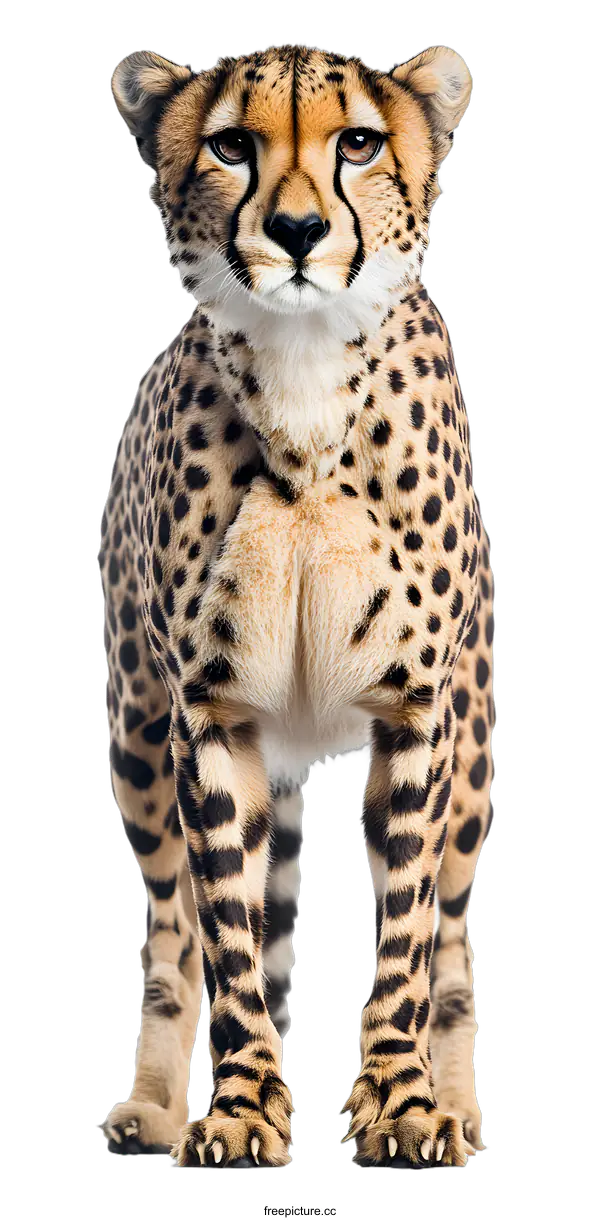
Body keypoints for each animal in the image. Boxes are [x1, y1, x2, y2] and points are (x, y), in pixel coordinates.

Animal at [99, 42, 493, 1171]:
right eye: (233, 144)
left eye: (357, 142)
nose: (300, 232)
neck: (307, 369)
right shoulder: (210, 713)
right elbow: (228, 933)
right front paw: (236, 1110)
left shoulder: (419, 710)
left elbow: (405, 925)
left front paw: (404, 1105)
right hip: (137, 739)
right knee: (174, 930)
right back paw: (154, 1110)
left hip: (476, 757)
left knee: (455, 939)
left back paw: (459, 1105)